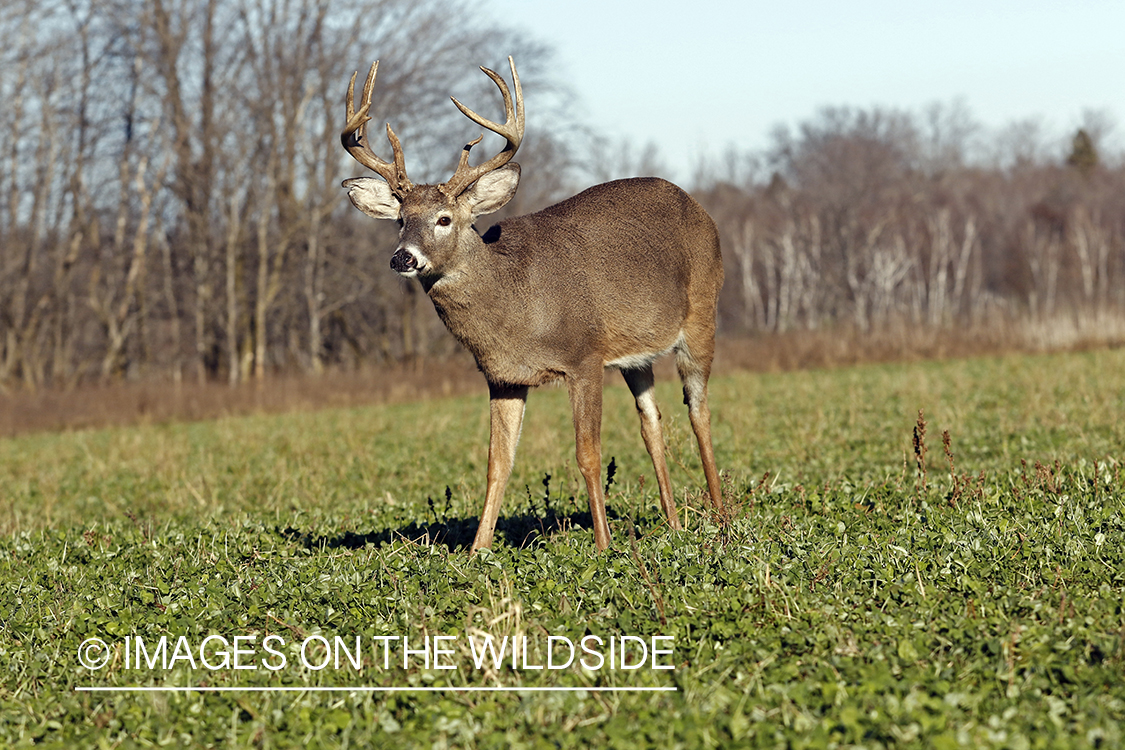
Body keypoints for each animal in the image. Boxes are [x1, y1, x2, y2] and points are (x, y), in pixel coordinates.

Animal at [342, 58, 724, 550]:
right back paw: (675, 524)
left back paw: (721, 517)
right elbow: (497, 463)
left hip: (701, 315)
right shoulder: (503, 376)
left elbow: (588, 454)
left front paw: (604, 545)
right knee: (652, 422)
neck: (517, 304)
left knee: (699, 411)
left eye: (444, 219)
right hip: (636, 354)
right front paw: (476, 551)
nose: (403, 257)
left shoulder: (584, 356)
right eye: (401, 220)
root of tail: (697, 206)